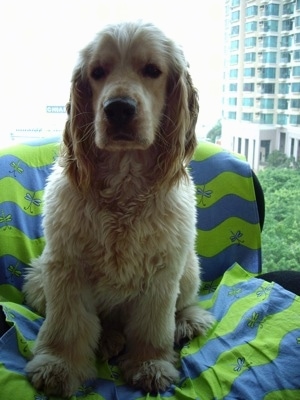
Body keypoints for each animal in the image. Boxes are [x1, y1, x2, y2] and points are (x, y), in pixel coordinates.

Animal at [24, 20, 213, 396]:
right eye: (98, 72)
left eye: (152, 70)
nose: (119, 109)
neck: (124, 183)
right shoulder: (66, 267)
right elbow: (66, 324)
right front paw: (58, 365)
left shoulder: (163, 272)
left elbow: (153, 326)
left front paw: (149, 364)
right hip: (37, 278)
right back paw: (109, 339)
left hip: (189, 267)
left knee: (184, 304)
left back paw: (188, 321)